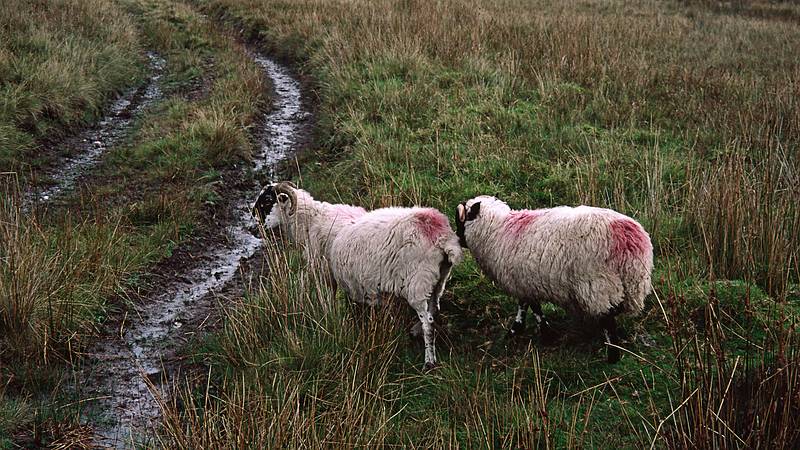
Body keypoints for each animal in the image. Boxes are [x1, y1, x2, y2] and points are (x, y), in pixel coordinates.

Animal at [250, 182, 462, 370]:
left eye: (267, 201)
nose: (253, 228)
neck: (311, 221)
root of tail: (439, 232)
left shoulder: (325, 275)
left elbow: (328, 302)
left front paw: (331, 323)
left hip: (417, 283)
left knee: (428, 321)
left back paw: (429, 361)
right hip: (437, 280)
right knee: (433, 310)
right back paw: (417, 334)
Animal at [454, 196, 652, 362]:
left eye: (460, 220)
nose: (458, 241)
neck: (498, 229)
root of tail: (629, 240)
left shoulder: (521, 280)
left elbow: (530, 307)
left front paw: (528, 331)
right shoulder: (525, 281)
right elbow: (528, 306)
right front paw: (531, 331)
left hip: (598, 284)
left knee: (608, 319)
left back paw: (612, 356)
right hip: (631, 283)